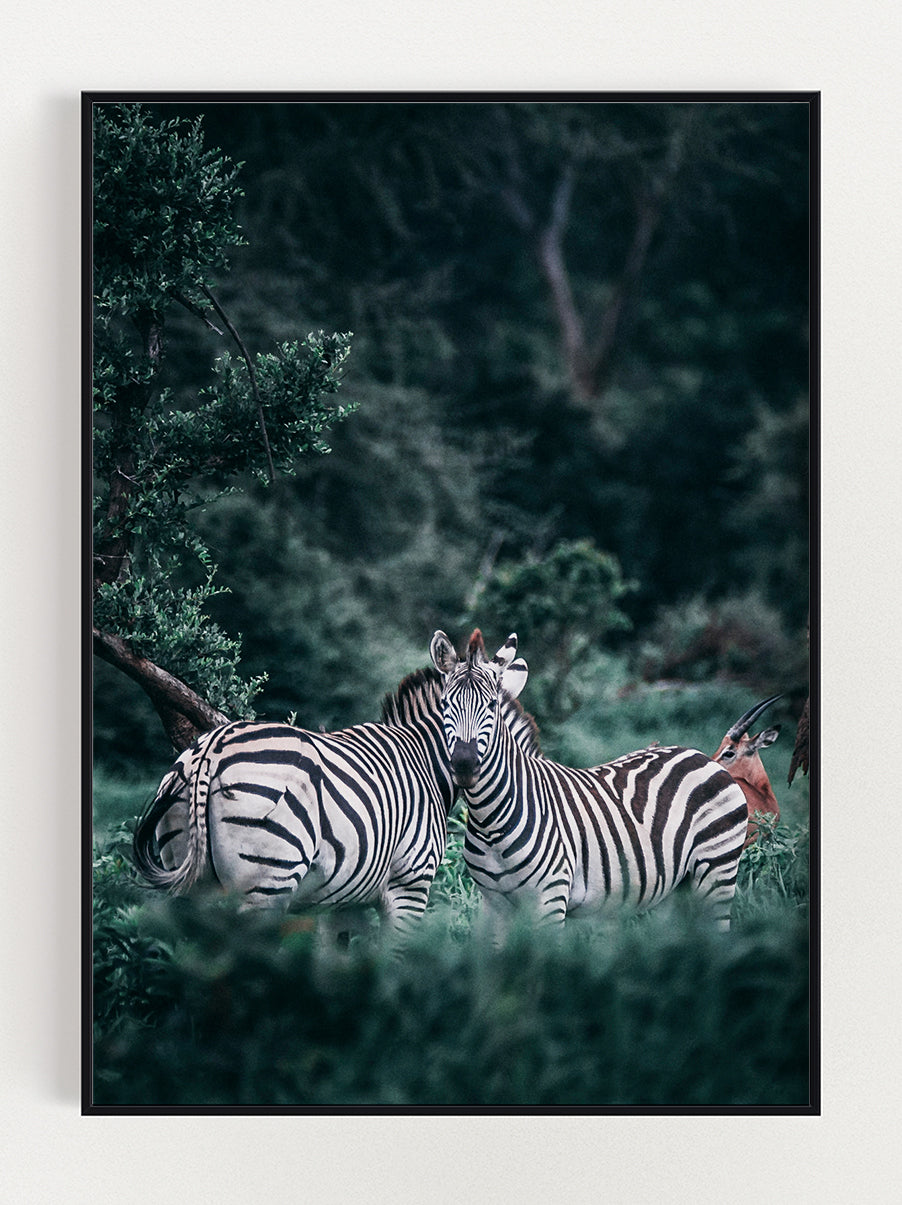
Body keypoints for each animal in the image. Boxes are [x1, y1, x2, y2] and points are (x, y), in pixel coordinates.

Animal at [430, 628, 750, 936]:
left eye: (492, 705)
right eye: (444, 704)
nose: (464, 764)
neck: (491, 821)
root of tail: (701, 756)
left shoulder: (550, 899)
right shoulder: (494, 904)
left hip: (717, 871)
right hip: (675, 888)